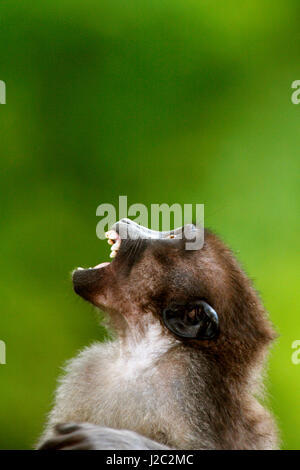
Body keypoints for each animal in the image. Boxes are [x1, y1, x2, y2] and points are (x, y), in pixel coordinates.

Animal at [37, 220, 278, 452]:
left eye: (171, 237)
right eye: (175, 231)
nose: (129, 222)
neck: (141, 354)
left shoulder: (188, 378)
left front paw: (115, 441)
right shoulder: (89, 367)